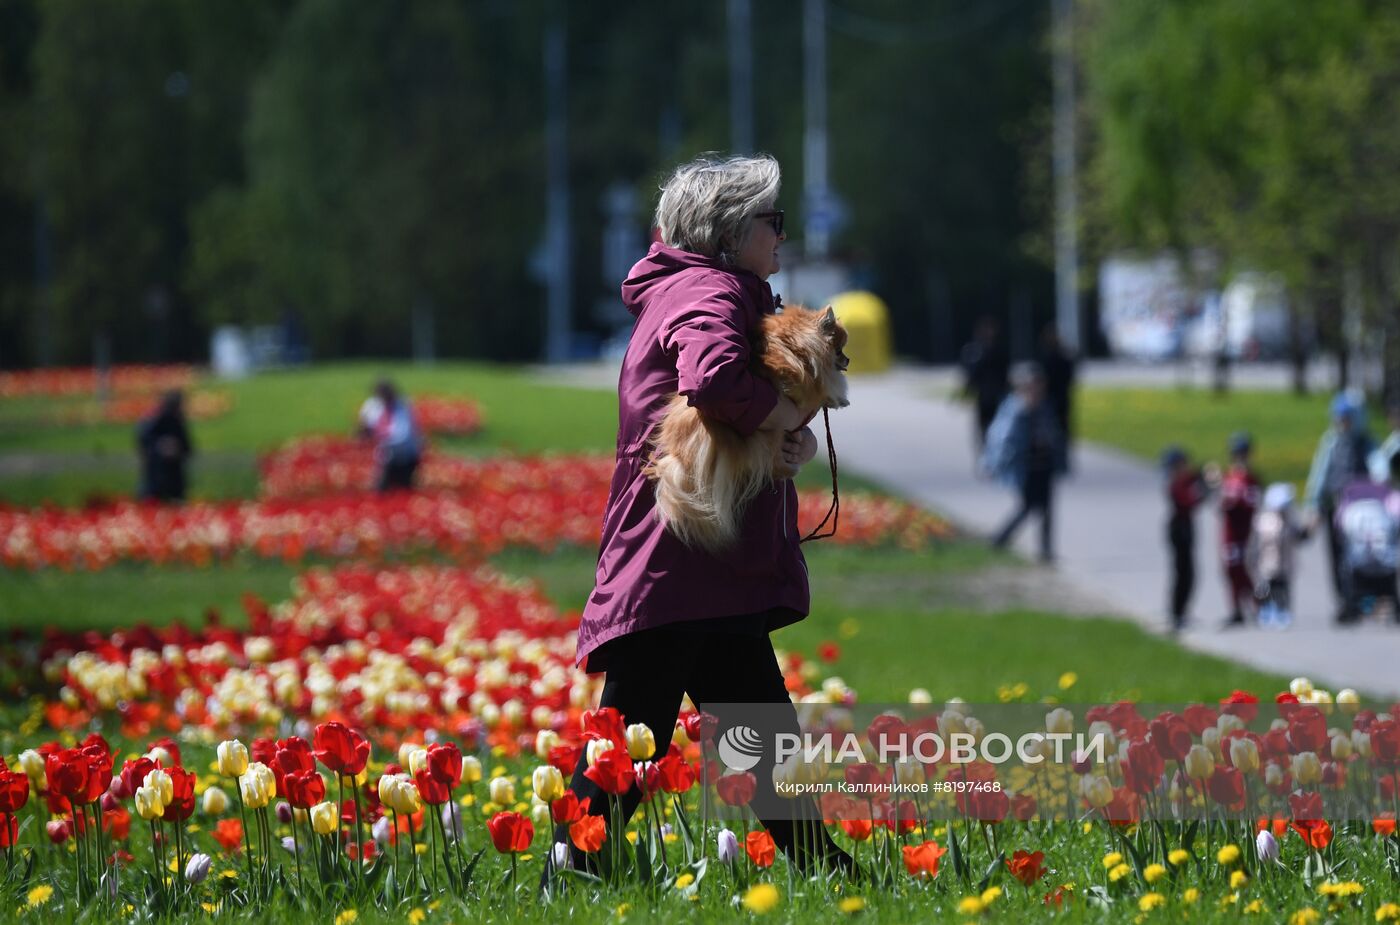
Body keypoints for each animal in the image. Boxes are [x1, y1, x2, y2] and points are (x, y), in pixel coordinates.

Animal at [644, 306, 851, 551]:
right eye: (839, 350)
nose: (848, 359)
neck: (796, 344)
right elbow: (823, 386)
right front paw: (836, 398)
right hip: (770, 436)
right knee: (772, 464)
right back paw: (788, 470)